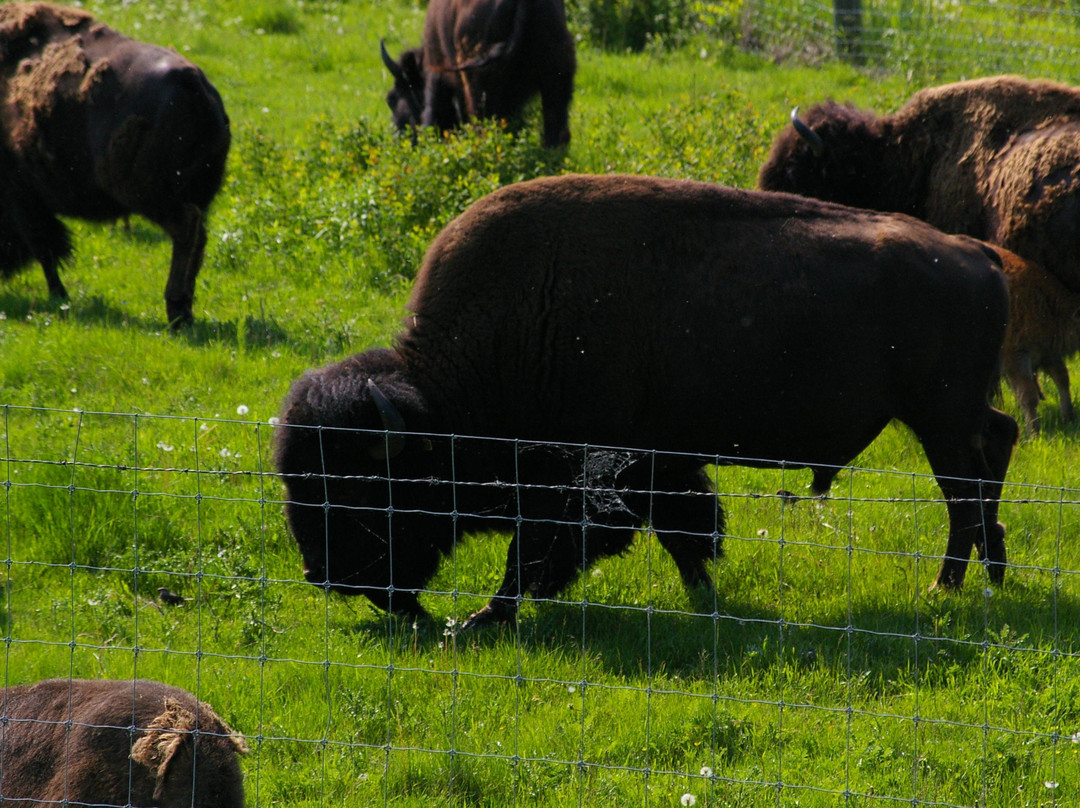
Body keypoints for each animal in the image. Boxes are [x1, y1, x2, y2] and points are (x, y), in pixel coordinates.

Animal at [0, 2, 231, 327]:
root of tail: (193, 83)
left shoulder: (21, 195)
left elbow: (44, 248)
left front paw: (60, 296)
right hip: (196, 193)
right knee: (199, 237)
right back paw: (185, 310)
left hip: (149, 196)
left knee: (186, 229)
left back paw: (175, 311)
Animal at [276, 174, 1018, 629]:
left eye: (362, 489)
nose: (321, 573)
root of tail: (975, 252)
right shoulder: (662, 462)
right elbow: (684, 530)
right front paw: (704, 598)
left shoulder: (576, 478)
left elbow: (537, 552)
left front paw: (483, 618)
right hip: (952, 416)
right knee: (995, 451)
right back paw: (993, 576)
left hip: (938, 418)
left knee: (963, 493)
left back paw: (946, 588)